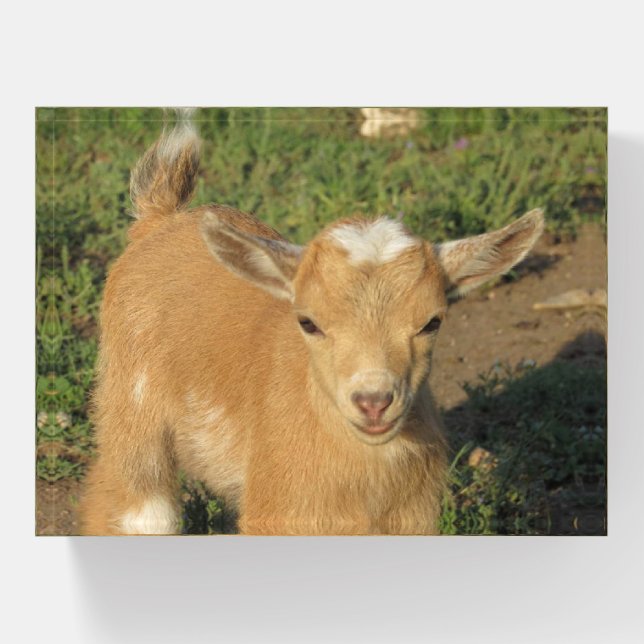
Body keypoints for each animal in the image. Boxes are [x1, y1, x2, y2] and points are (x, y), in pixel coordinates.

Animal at [79, 117, 543, 535]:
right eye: (308, 322)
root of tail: (159, 219)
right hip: (130, 409)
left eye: (433, 321)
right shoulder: (278, 507)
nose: (373, 401)